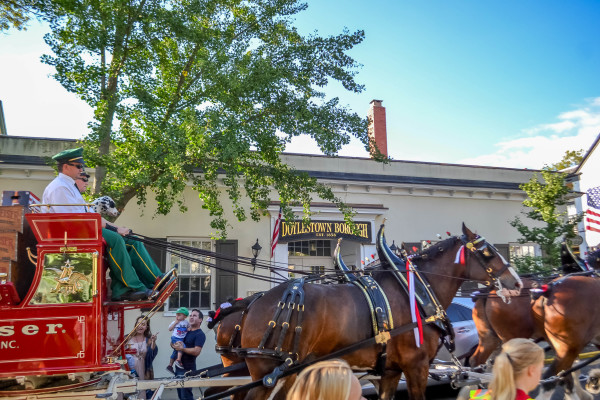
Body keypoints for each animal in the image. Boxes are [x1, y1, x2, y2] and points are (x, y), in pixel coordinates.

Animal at [237, 225, 524, 400]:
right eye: (487, 252)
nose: (517, 282)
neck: (414, 291)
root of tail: (254, 304)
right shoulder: (416, 365)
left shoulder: (390, 370)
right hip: (269, 372)